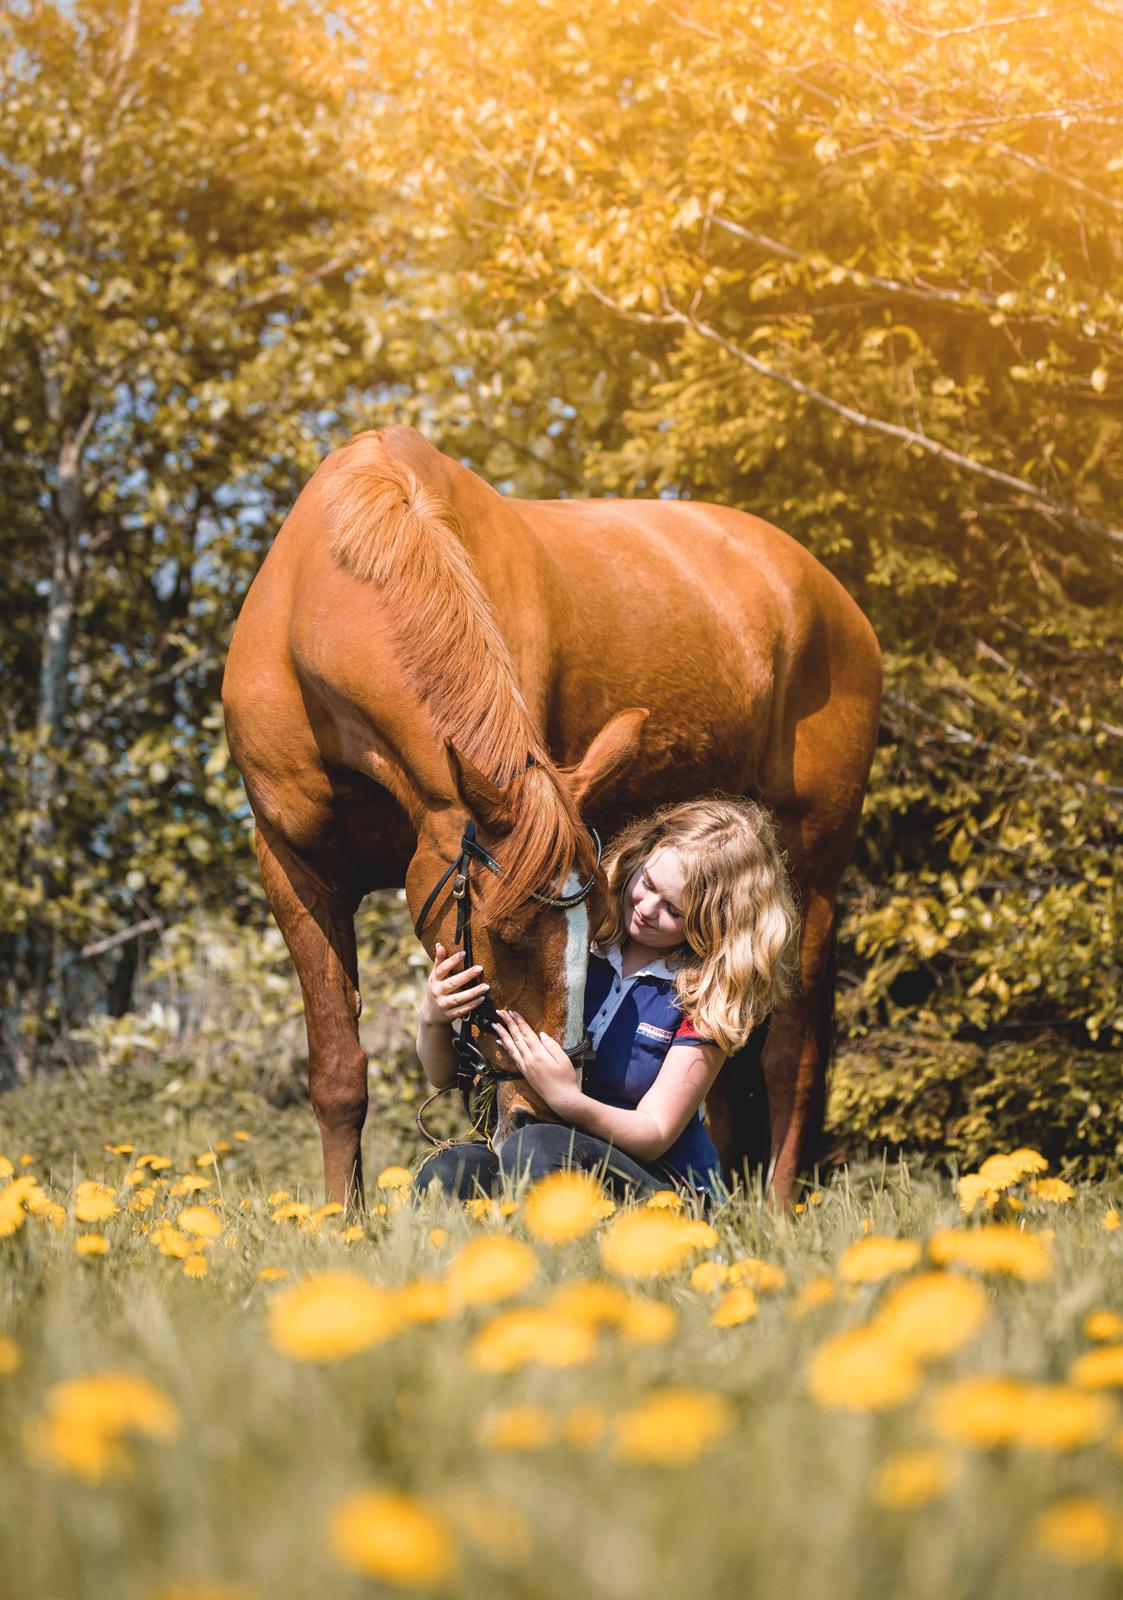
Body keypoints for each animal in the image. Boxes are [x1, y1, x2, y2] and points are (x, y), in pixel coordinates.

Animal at [223, 422, 883, 1203]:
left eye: (595, 932)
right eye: (504, 935)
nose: (546, 1100)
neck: (314, 615)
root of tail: (831, 597)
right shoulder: (294, 868)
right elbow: (336, 1073)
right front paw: (342, 1220)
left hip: (812, 879)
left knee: (789, 1058)